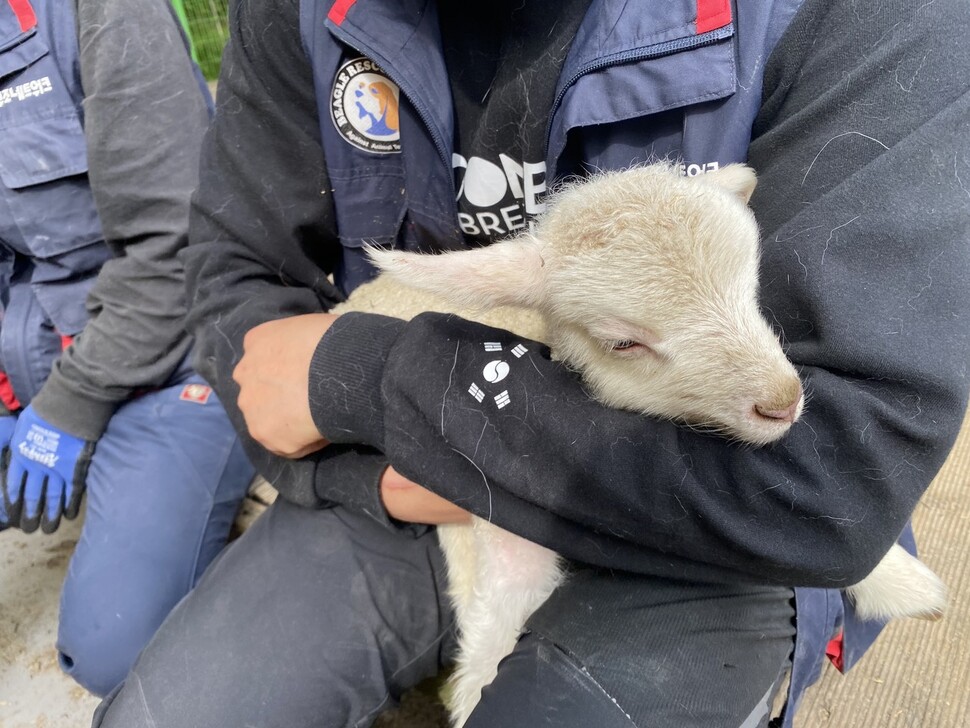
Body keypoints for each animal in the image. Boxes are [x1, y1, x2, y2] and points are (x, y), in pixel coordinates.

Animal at [328, 165, 940, 728]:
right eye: (622, 343)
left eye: (750, 287)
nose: (781, 402)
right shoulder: (496, 513)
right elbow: (491, 638)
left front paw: (905, 583)